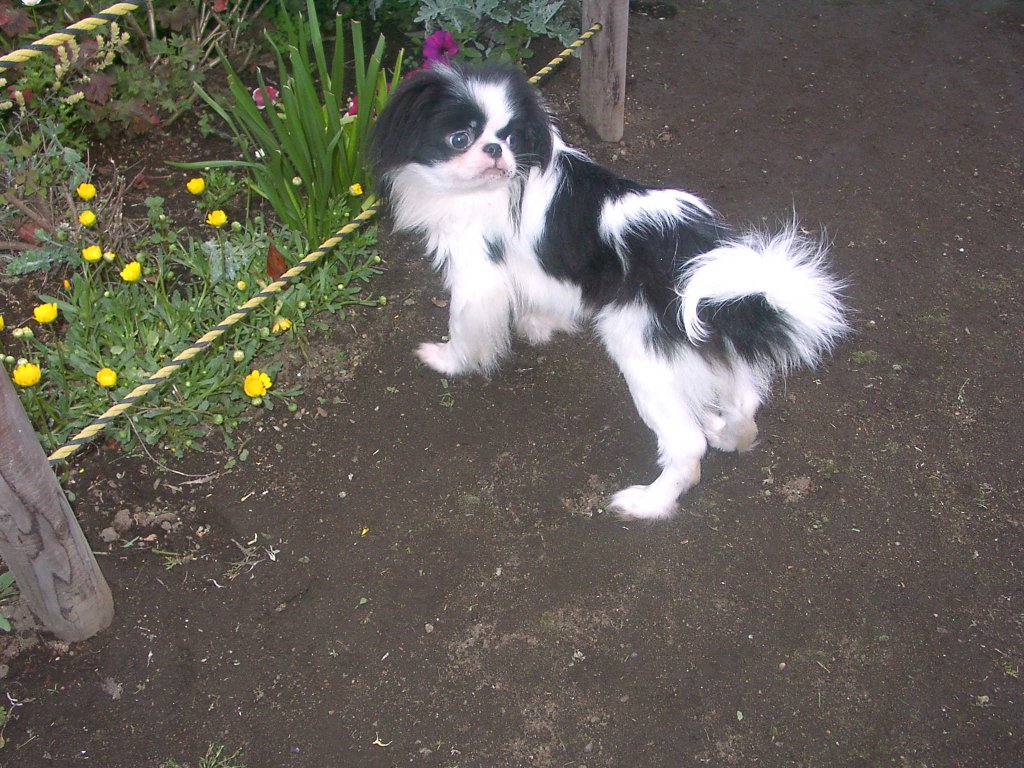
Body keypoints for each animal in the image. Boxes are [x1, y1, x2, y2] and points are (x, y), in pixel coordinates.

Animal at [369, 63, 849, 520]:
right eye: (460, 138)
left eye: (509, 138)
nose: (494, 150)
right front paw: (539, 325)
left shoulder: (475, 275)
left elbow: (464, 328)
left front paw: (447, 360)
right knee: (744, 401)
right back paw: (729, 435)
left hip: (643, 359)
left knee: (687, 446)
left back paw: (648, 503)